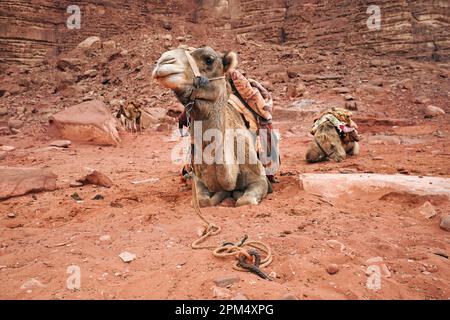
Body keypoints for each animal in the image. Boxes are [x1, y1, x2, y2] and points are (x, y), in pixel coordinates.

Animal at [153, 47, 268, 208]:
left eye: (209, 60)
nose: (164, 61)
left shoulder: (260, 179)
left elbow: (245, 200)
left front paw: (234, 194)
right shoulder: (199, 180)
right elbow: (203, 201)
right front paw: (221, 195)